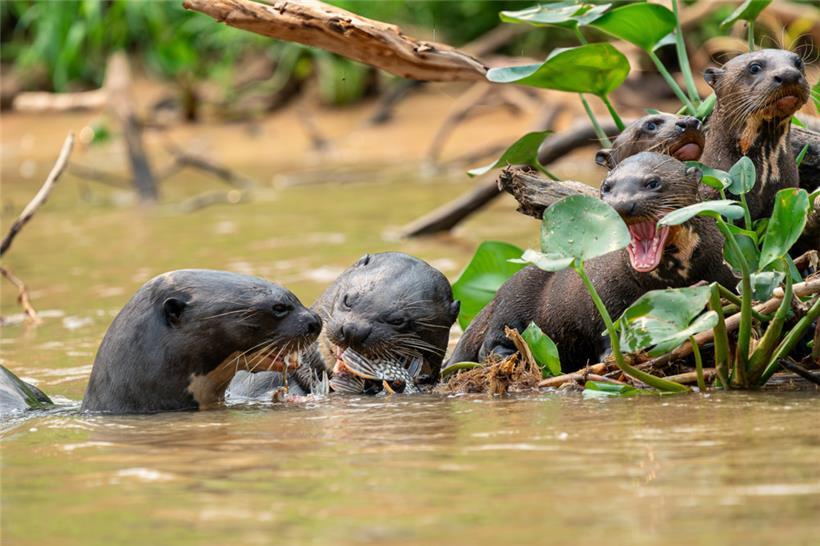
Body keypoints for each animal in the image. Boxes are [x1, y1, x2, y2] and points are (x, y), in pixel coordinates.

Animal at [447, 153, 737, 371]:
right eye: (607, 187)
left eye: (653, 182)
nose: (622, 203)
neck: (673, 281)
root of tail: (494, 297)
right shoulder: (606, 295)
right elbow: (607, 332)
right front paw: (614, 357)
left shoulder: (725, 277)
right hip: (512, 303)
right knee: (489, 346)